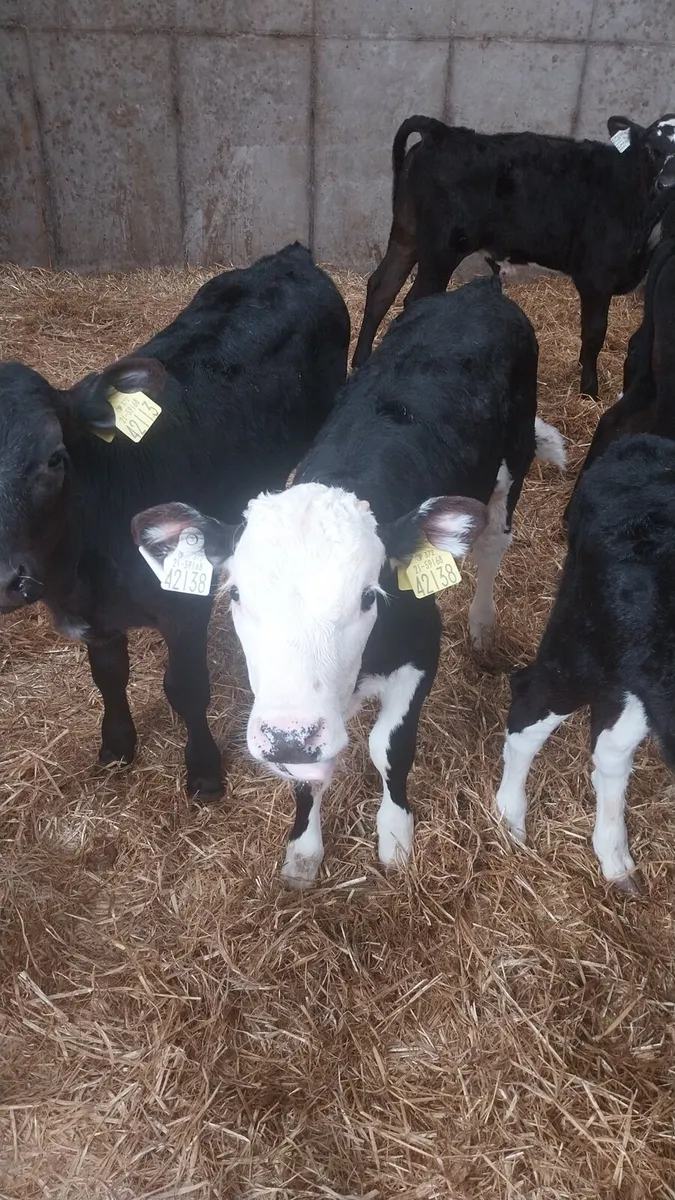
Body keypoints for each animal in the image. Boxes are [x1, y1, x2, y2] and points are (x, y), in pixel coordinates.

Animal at [0, 243, 349, 799]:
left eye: (54, 458)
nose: (6, 580)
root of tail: (289, 256)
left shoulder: (185, 602)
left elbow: (185, 688)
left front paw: (204, 771)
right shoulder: (97, 620)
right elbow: (109, 676)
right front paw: (117, 746)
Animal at [133, 276, 565, 886]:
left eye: (368, 597)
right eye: (236, 594)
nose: (289, 735)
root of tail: (479, 288)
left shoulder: (420, 656)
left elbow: (390, 748)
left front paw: (395, 836)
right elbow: (308, 779)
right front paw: (304, 849)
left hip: (512, 469)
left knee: (490, 549)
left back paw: (482, 626)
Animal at [352, 112, 675, 398]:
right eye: (651, 149)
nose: (667, 185)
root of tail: (443, 132)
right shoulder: (596, 276)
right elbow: (595, 332)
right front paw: (590, 391)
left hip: (407, 234)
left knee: (382, 286)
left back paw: (360, 361)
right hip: (442, 249)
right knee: (414, 298)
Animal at [496, 434, 675, 892]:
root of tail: (638, 448)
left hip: (642, 675)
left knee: (611, 746)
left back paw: (615, 858)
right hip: (585, 646)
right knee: (529, 703)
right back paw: (510, 818)